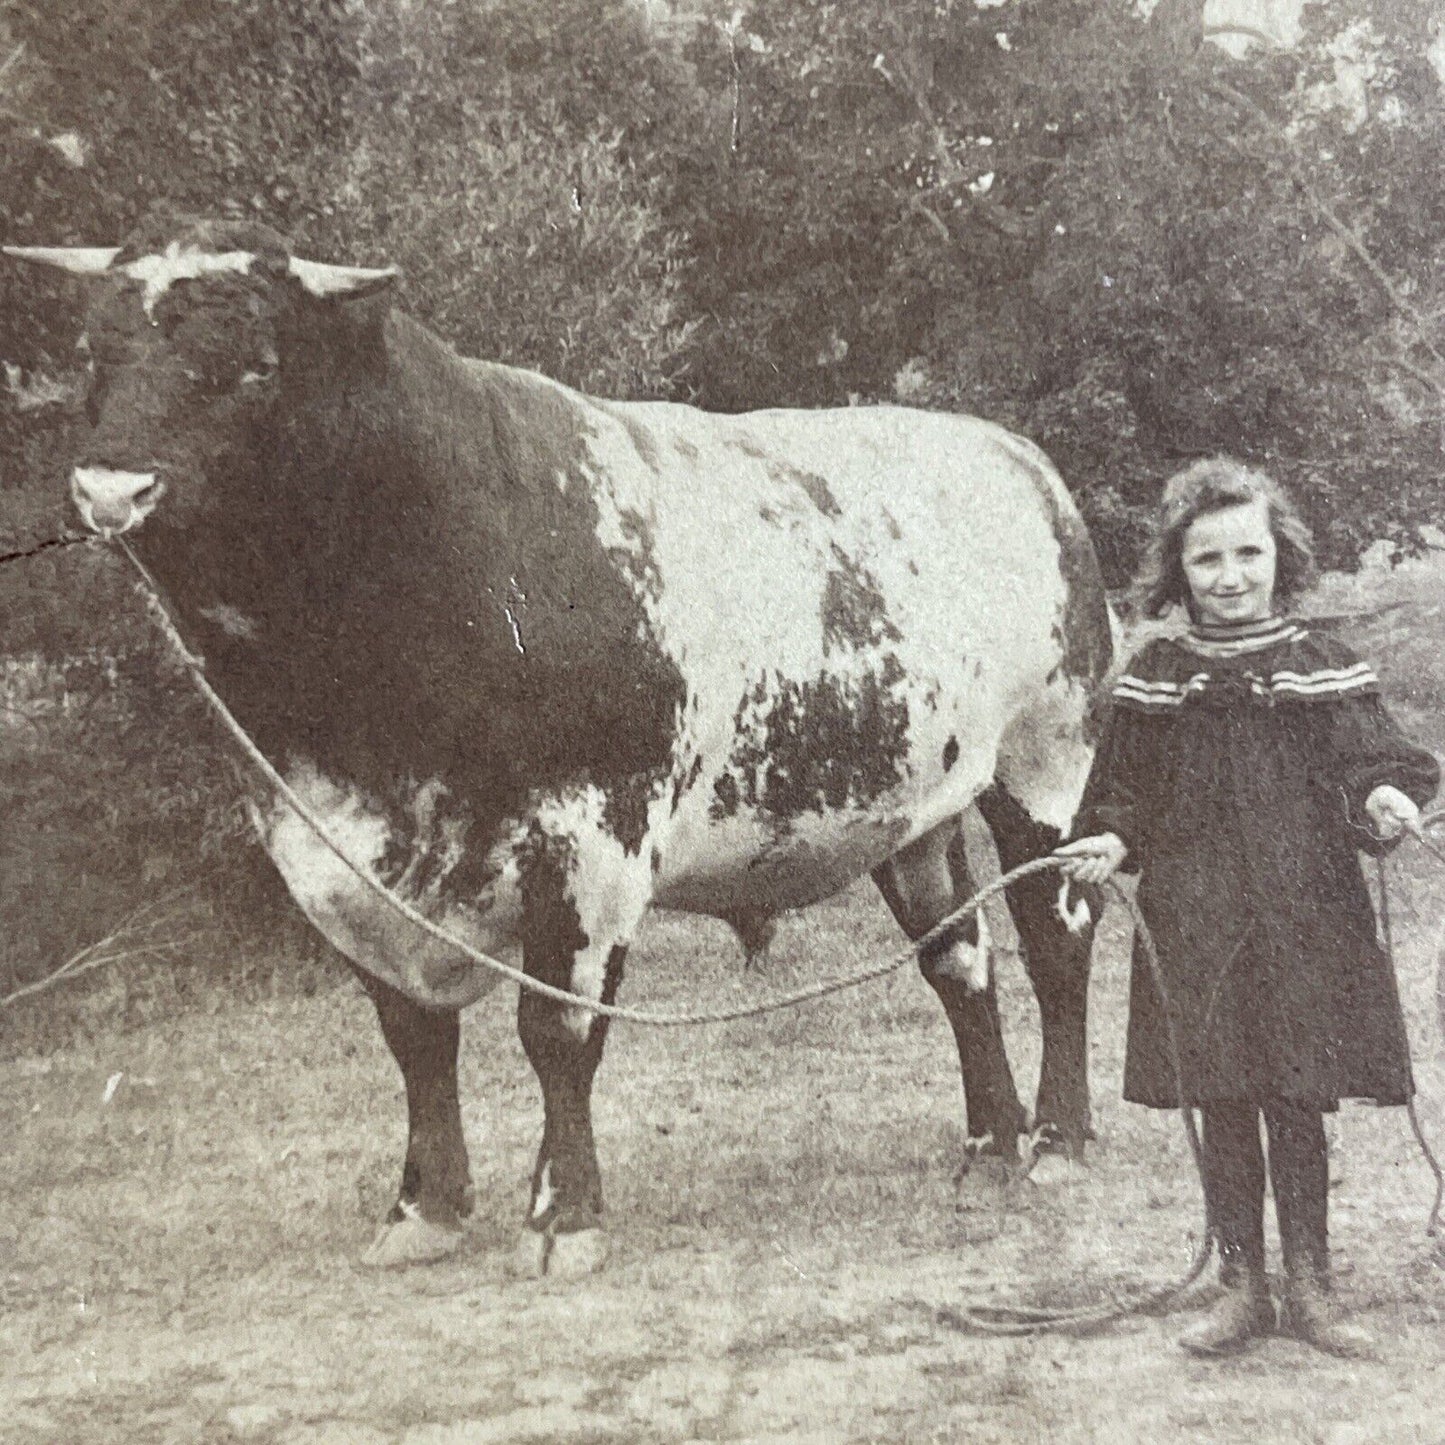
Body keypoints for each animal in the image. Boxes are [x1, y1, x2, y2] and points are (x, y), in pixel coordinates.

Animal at [6, 216, 1112, 1277]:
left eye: (253, 364)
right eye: (93, 352)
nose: (110, 491)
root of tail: (1021, 462)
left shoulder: (592, 839)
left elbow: (557, 1031)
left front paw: (561, 1213)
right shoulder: (327, 851)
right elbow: (413, 1036)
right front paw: (423, 1208)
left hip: (1045, 760)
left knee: (1054, 933)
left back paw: (1058, 1137)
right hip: (914, 807)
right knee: (959, 958)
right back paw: (989, 1142)